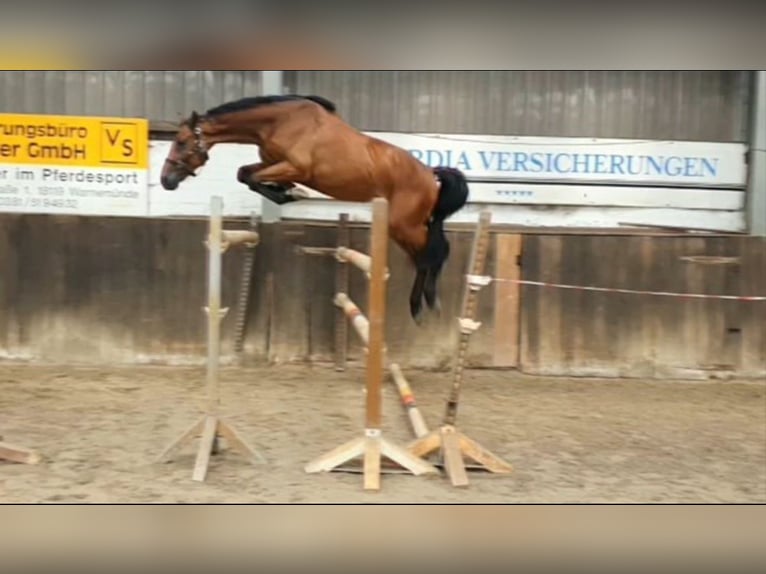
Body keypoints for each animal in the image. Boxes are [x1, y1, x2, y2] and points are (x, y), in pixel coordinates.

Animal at [160, 97, 472, 326]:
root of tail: (430, 175)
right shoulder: (272, 163)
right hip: (406, 226)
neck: (280, 122)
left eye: (181, 142)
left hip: (404, 225)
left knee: (434, 253)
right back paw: (420, 305)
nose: (166, 180)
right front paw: (288, 192)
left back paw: (426, 303)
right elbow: (244, 174)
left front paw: (291, 194)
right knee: (425, 257)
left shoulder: (295, 167)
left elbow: (252, 177)